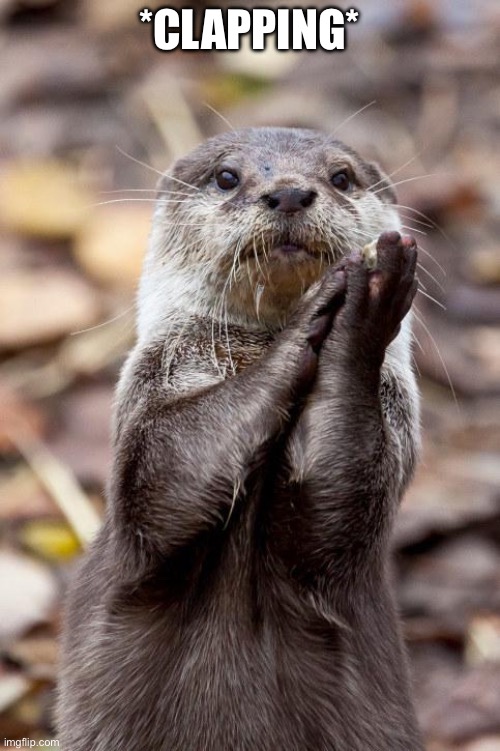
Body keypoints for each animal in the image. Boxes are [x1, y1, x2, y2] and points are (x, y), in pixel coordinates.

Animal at [58, 127, 424, 751]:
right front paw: (335, 308)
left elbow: (335, 500)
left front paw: (365, 302)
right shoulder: (149, 422)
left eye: (341, 177)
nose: (290, 193)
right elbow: (167, 475)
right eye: (227, 177)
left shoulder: (388, 448)